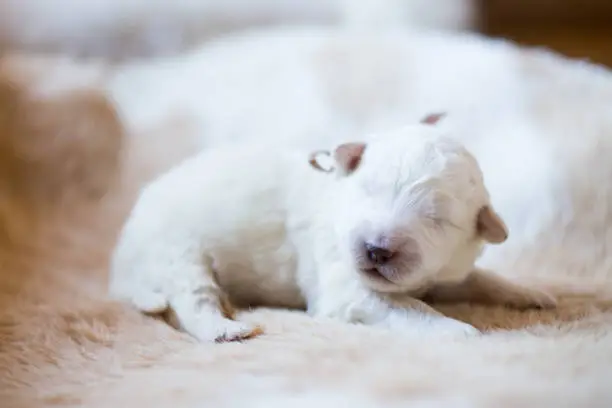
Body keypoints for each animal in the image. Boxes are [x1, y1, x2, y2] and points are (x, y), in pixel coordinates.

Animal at [109, 119, 556, 342]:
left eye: (437, 220)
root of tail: (123, 253)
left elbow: (480, 278)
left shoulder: (444, 273)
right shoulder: (346, 286)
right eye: (368, 191)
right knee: (191, 301)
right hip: (179, 253)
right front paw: (457, 328)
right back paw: (224, 329)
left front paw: (530, 293)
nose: (377, 250)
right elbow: (411, 308)